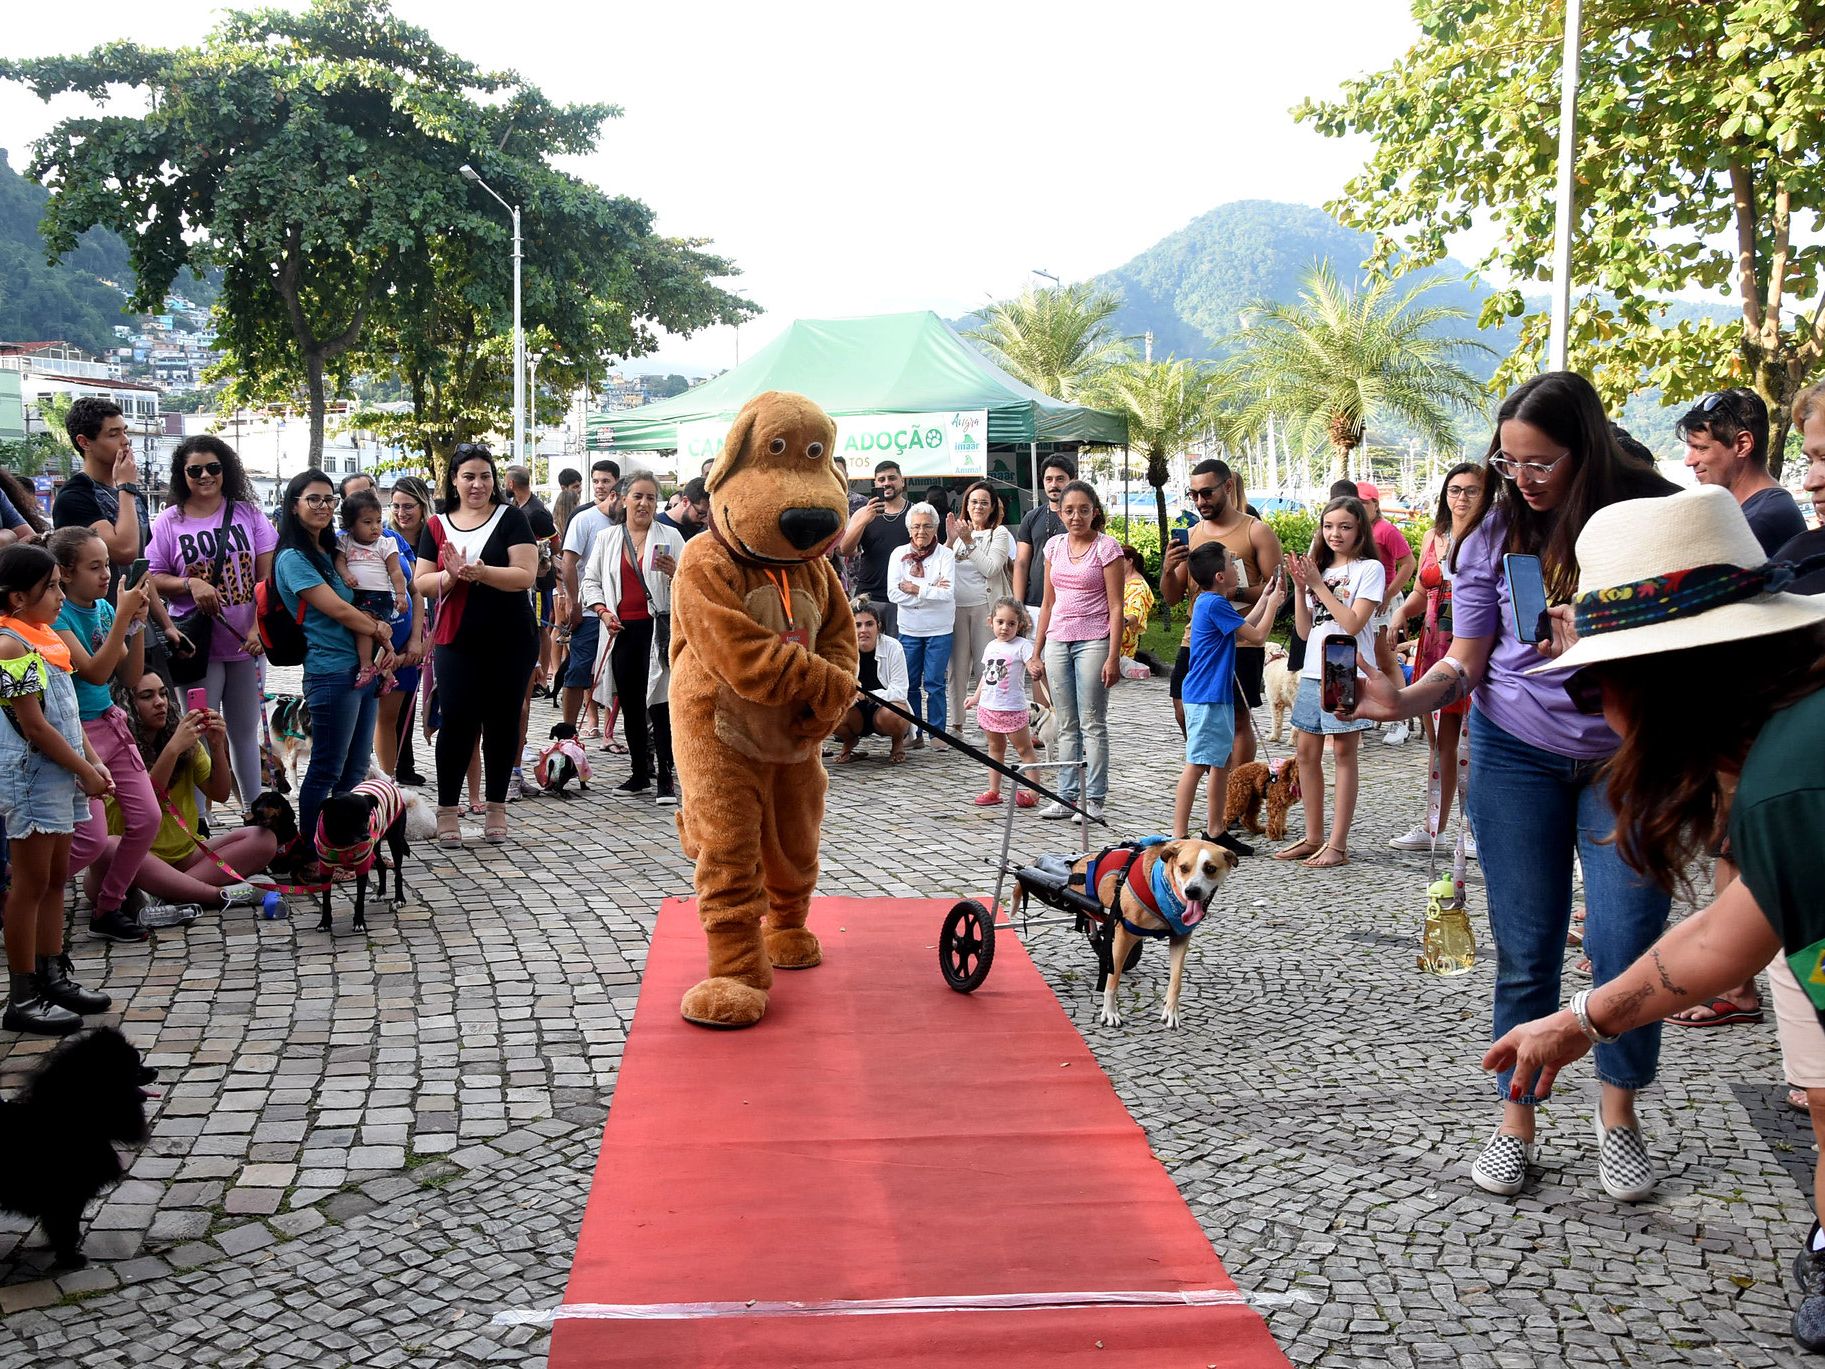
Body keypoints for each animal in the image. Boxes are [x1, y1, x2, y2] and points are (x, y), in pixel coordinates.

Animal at [0, 1036, 156, 1270]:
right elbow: (65, 1229)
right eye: (134, 1067)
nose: (155, 1070)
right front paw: (70, 1259)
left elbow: (63, 1228)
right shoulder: (67, 1196)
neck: (74, 1119)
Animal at [317, 777, 410, 941]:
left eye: (367, 815)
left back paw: (399, 899)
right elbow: (326, 900)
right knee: (381, 867)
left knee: (398, 873)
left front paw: (359, 922)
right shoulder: (325, 869)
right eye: (347, 817)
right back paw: (380, 893)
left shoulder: (361, 866)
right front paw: (325, 922)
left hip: (395, 841)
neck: (342, 842)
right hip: (375, 846)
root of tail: (387, 781)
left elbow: (359, 900)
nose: (366, 836)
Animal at [675, 388, 857, 1029]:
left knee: (791, 864)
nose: (813, 523)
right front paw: (825, 686)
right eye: (774, 447)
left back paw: (791, 944)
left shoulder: (827, 585)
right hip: (718, 768)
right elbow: (745, 643)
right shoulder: (702, 577)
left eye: (816, 452)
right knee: (731, 876)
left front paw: (829, 697)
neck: (775, 568)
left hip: (797, 789)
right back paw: (731, 992)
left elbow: (839, 634)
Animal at [1065, 836, 1241, 1029]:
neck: (1162, 886)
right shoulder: (1123, 936)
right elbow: (1113, 979)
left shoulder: (1180, 939)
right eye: (1183, 867)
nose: (1192, 891)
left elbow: (1176, 980)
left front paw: (1171, 1012)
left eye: (1210, 868)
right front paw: (1110, 1012)